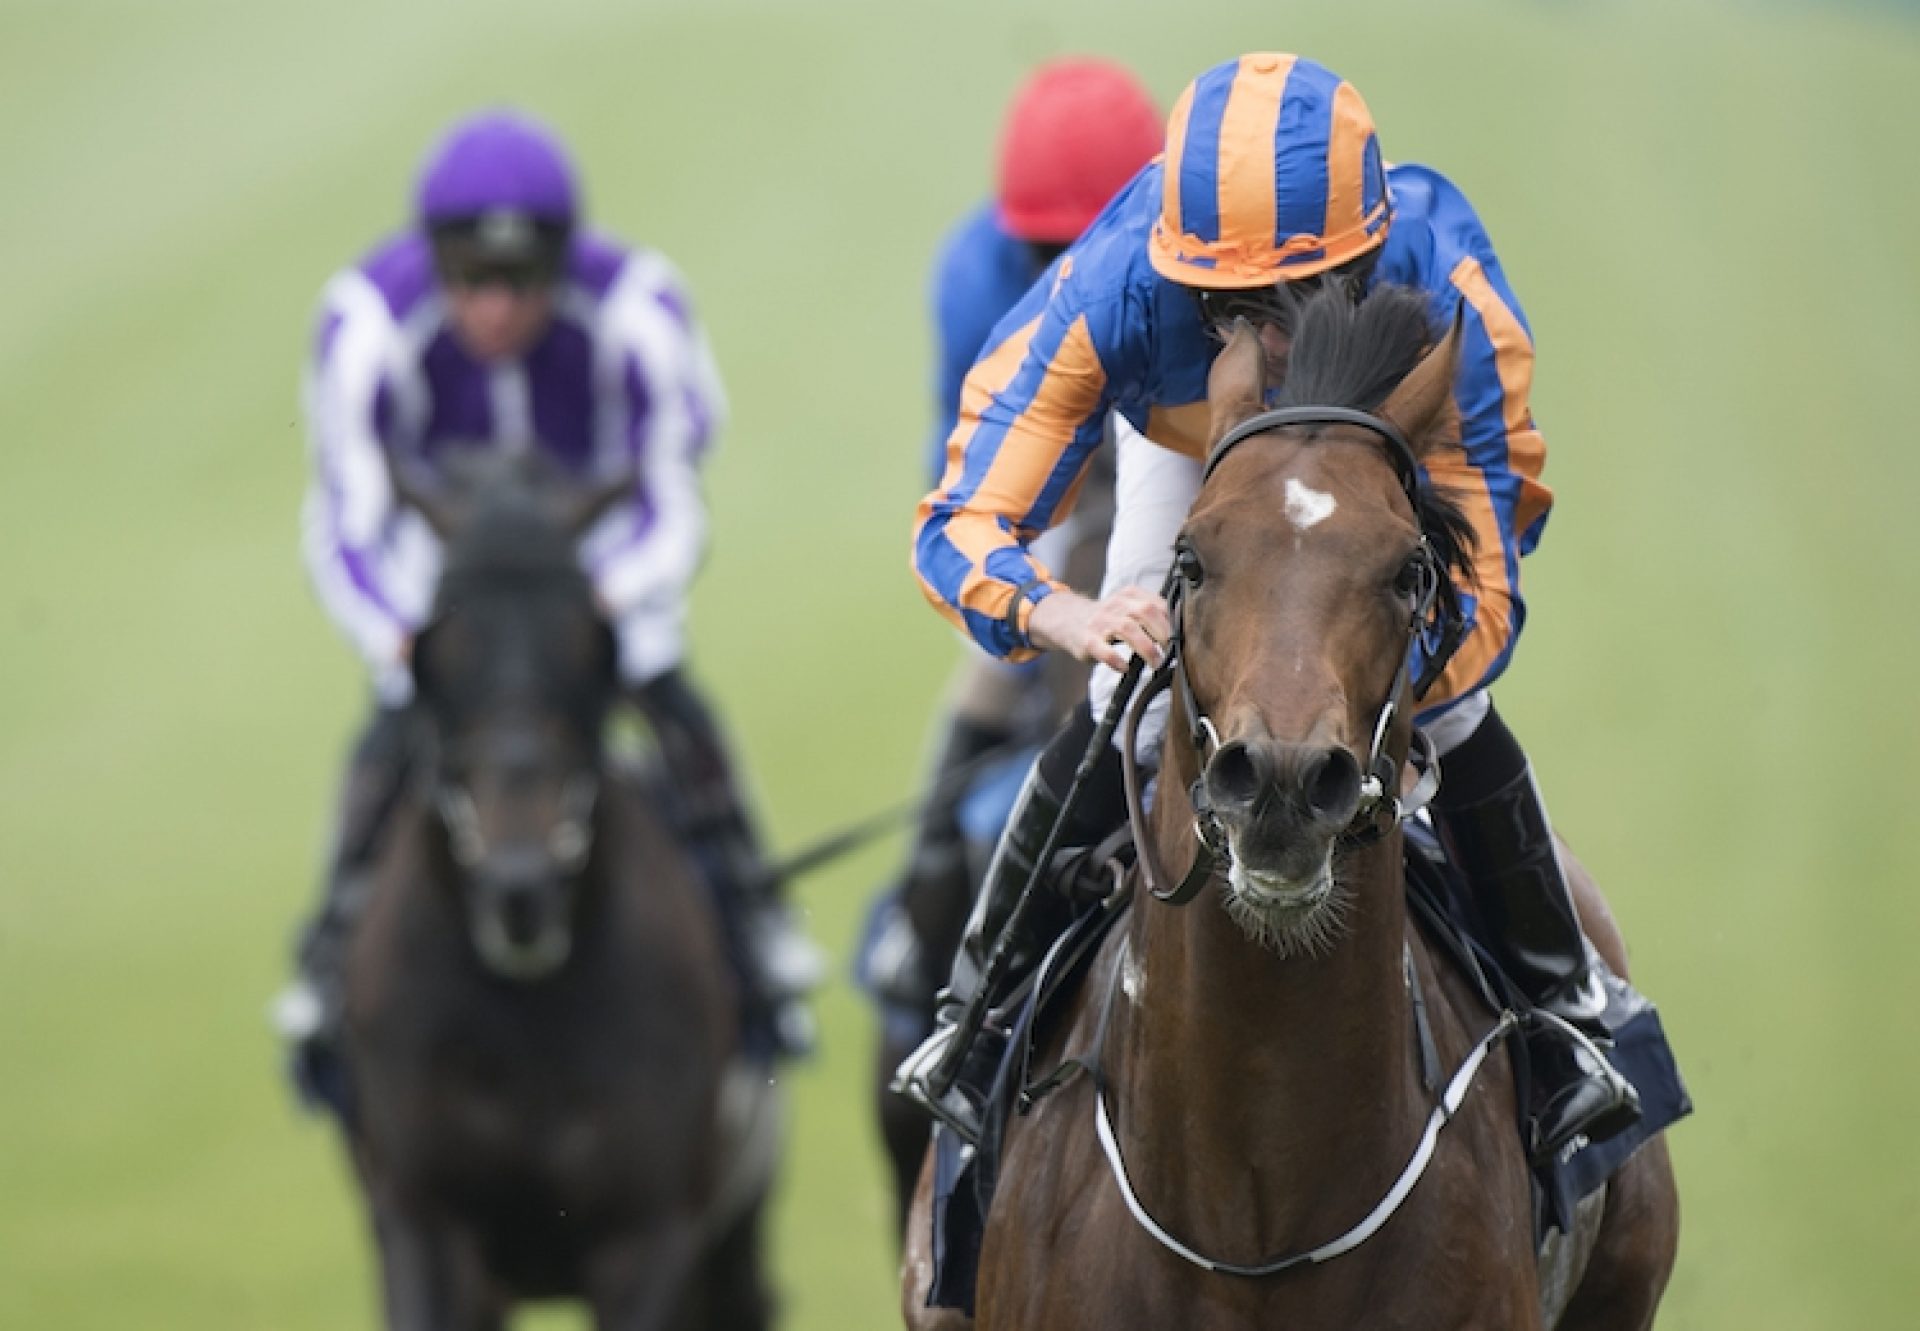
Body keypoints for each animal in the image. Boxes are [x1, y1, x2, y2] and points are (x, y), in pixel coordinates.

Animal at [336, 457, 771, 1329]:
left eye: (591, 643)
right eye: (434, 650)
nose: (520, 885)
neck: (522, 1008)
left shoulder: (650, 1233)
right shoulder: (423, 1221)